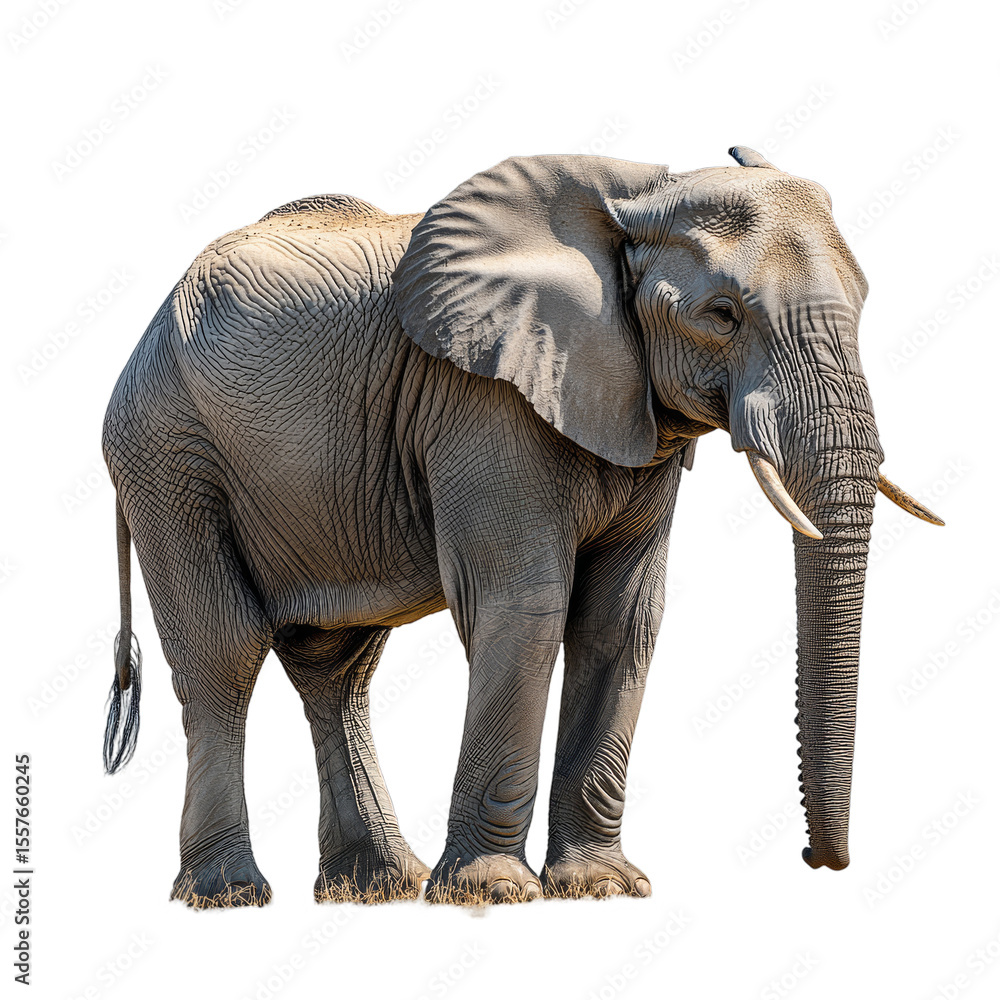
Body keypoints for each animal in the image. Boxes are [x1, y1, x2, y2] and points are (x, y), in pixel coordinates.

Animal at [101, 146, 943, 908]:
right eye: (723, 316)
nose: (818, 860)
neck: (640, 195)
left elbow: (622, 620)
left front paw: (602, 889)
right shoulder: (484, 400)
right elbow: (527, 606)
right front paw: (493, 892)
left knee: (336, 670)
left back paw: (376, 887)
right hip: (168, 452)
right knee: (224, 651)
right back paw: (229, 894)